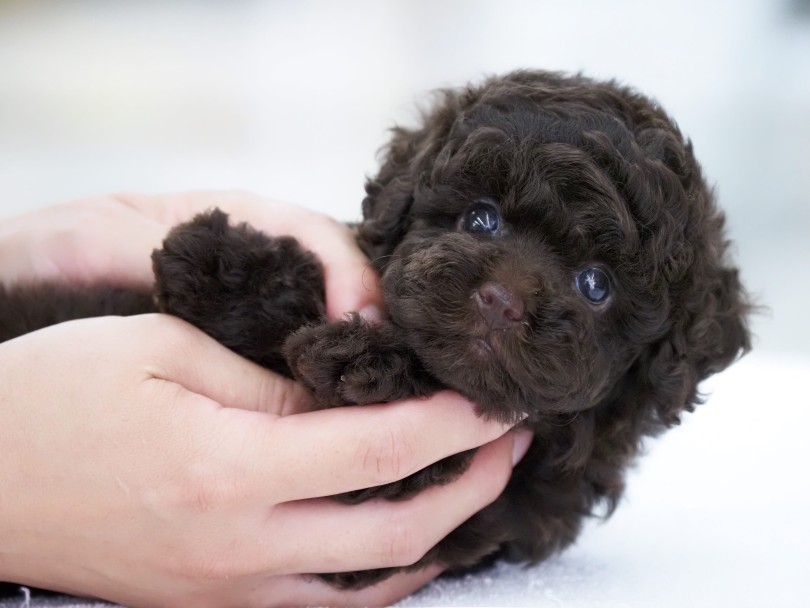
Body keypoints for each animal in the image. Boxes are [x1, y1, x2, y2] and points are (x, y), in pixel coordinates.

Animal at [0, 70, 752, 588]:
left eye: (597, 286)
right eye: (481, 218)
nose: (503, 300)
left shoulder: (475, 518)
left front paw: (369, 367)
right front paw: (230, 270)